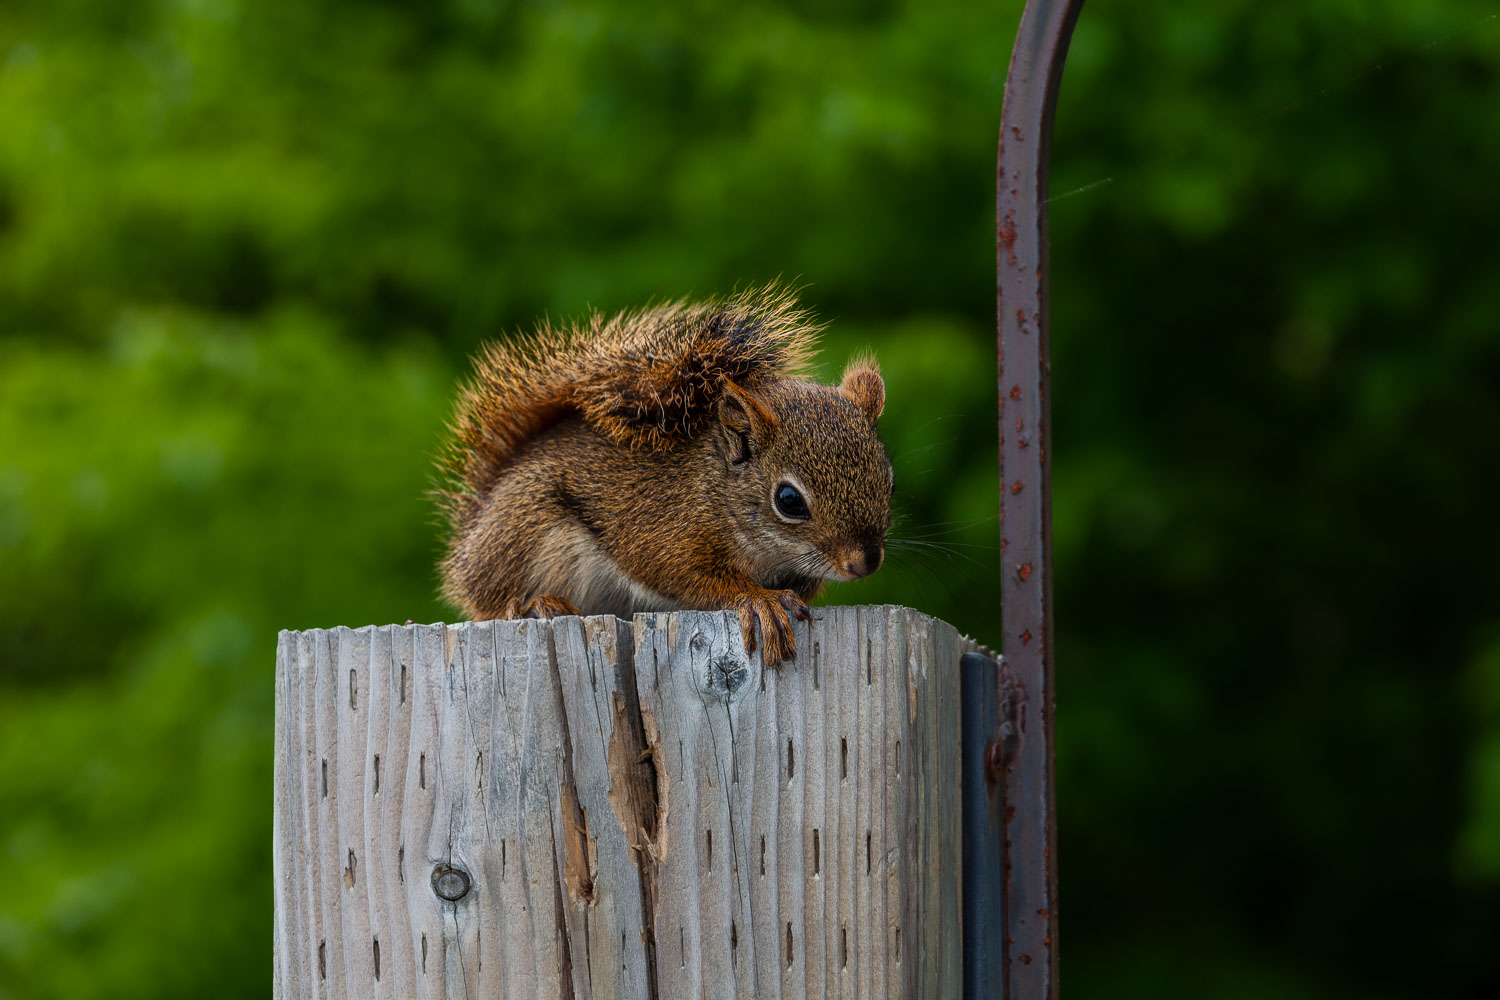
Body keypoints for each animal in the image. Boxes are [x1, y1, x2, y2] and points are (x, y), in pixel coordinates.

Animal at [432, 284, 888, 668]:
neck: (715, 490)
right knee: (494, 602)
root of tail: (473, 532)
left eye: (889, 481)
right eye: (789, 501)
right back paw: (534, 604)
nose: (865, 562)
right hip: (525, 532)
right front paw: (759, 599)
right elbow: (686, 576)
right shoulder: (662, 531)